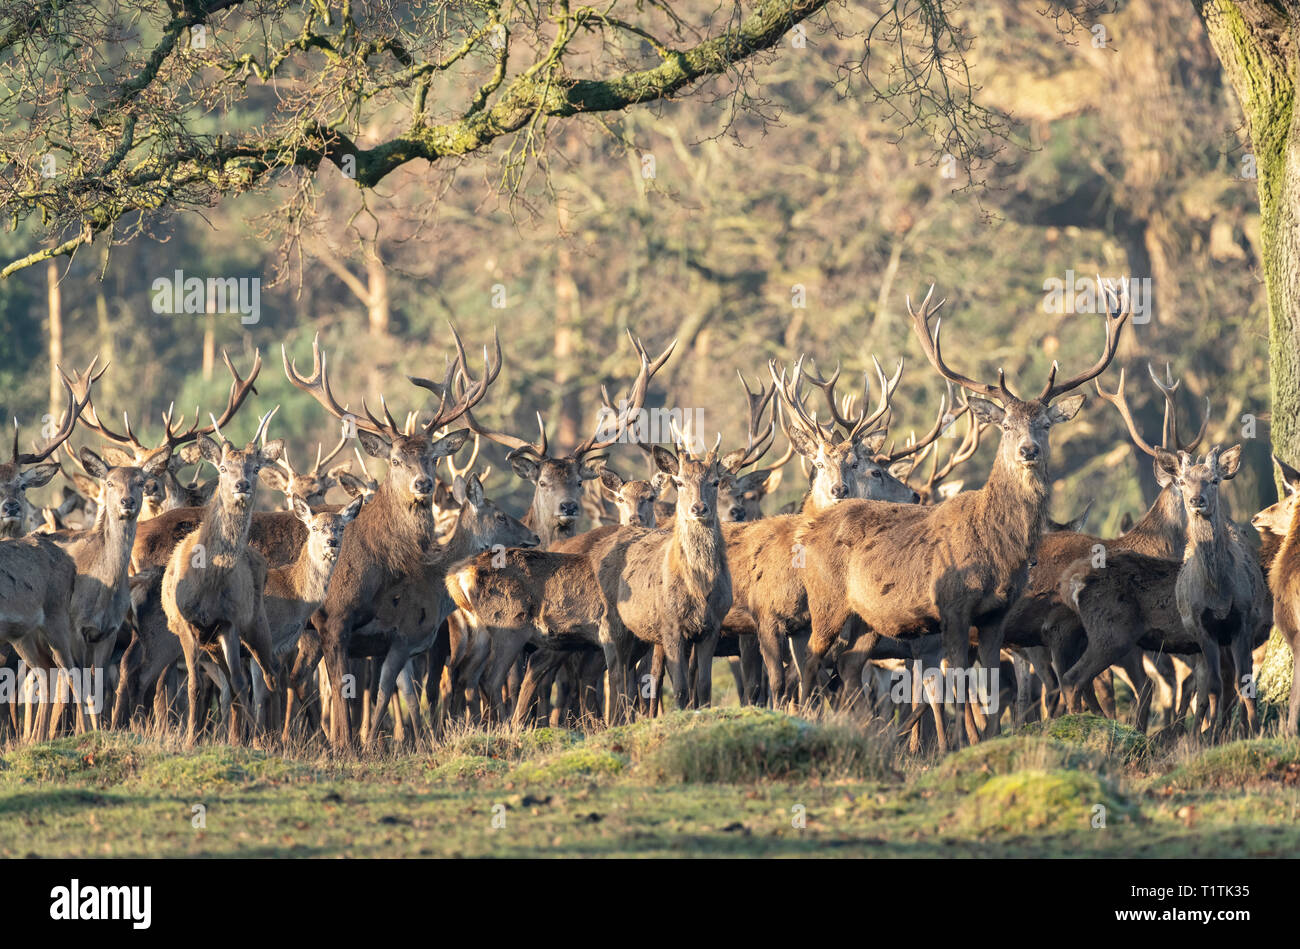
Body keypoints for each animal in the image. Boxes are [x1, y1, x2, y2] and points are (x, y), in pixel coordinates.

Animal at [790, 284, 1128, 743]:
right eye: (1005, 425)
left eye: (1045, 423)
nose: (1028, 450)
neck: (996, 546)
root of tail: (810, 530)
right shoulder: (951, 608)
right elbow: (958, 689)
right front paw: (956, 746)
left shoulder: (995, 615)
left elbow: (991, 690)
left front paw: (985, 741)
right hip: (826, 601)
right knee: (810, 664)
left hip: (867, 620)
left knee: (847, 666)